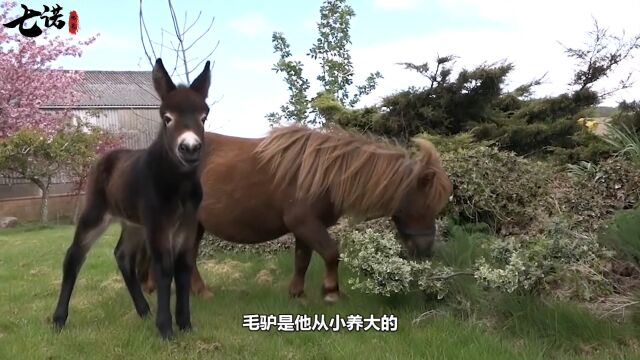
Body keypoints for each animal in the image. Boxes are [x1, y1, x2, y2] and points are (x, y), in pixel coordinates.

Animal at [141, 125, 450, 302]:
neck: (327, 173)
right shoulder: (305, 223)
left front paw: (297, 293)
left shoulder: (305, 228)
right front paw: (331, 292)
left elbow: (302, 260)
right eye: (425, 204)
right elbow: (331, 252)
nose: (425, 250)